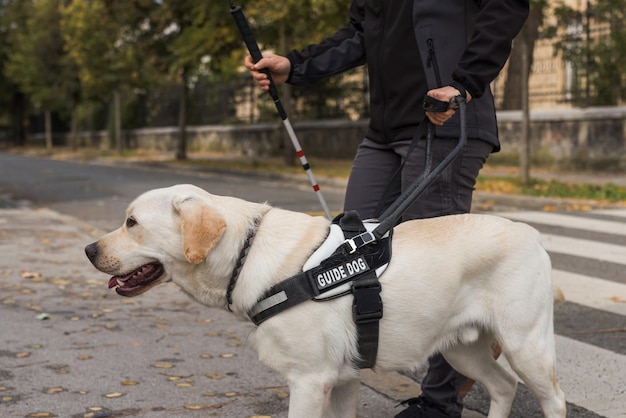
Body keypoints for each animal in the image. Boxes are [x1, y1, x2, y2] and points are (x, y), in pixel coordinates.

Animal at [85, 185, 568, 416]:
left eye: (131, 223)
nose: (89, 250)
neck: (246, 250)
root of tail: (532, 233)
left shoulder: (309, 379)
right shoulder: (343, 378)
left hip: (526, 344)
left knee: (553, 399)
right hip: (461, 349)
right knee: (504, 386)